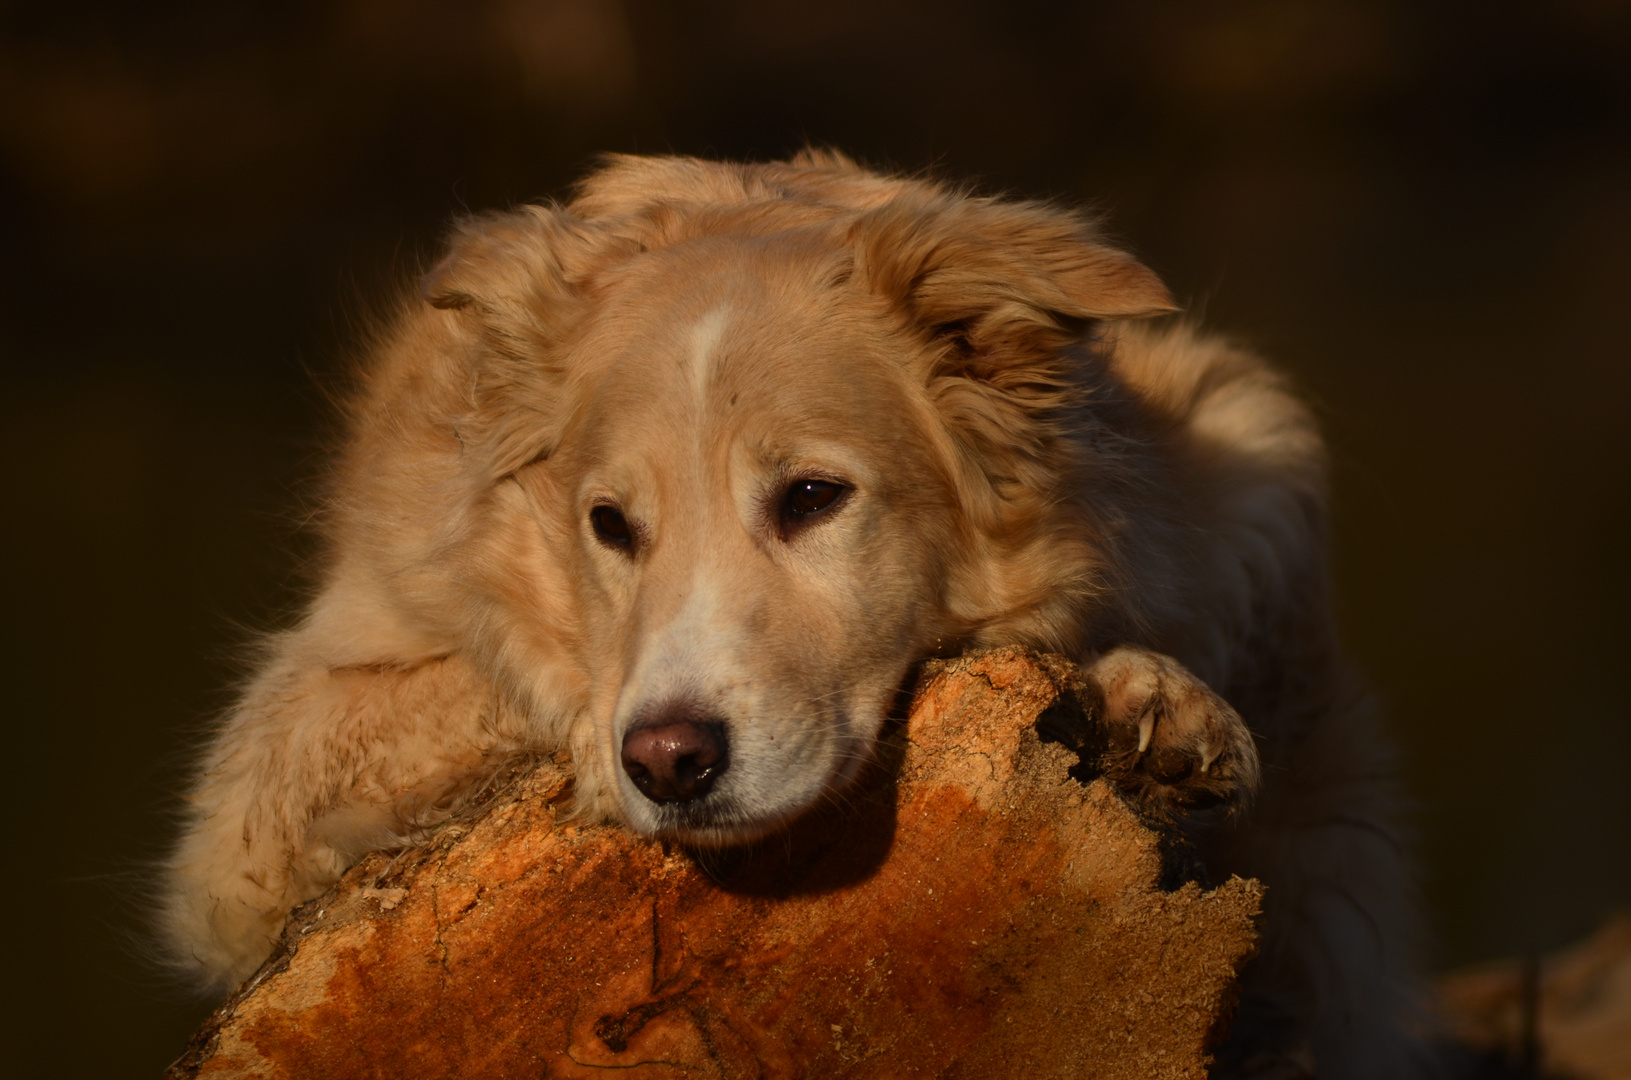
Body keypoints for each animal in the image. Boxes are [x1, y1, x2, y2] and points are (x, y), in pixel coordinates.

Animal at [165, 152, 1435, 1080]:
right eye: (609, 525)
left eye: (813, 498)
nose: (669, 761)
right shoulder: (246, 816)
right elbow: (479, 667)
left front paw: (1147, 697)